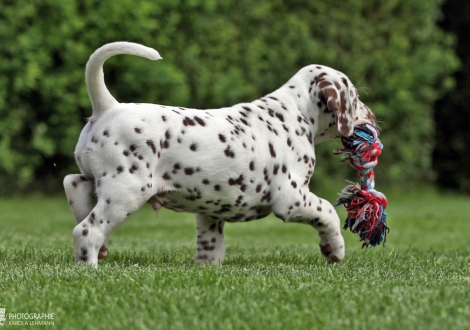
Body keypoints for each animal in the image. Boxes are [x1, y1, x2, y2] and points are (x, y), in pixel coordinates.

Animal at [63, 42, 378, 268]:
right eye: (355, 98)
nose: (374, 116)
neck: (293, 111)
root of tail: (108, 107)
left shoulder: (209, 210)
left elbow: (210, 247)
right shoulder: (292, 198)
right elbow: (327, 212)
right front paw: (333, 249)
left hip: (98, 181)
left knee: (73, 185)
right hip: (127, 189)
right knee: (87, 230)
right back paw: (89, 266)